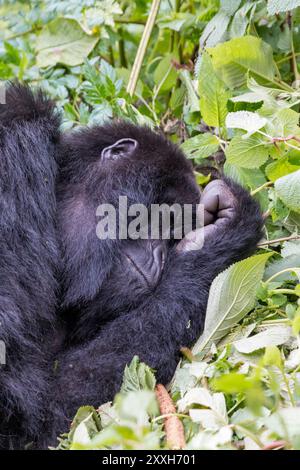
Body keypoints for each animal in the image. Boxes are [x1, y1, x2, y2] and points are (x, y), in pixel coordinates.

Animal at [0, 83, 262, 448]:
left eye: (173, 237)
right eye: (167, 217)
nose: (160, 255)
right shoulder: (14, 163)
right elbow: (32, 417)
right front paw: (221, 240)